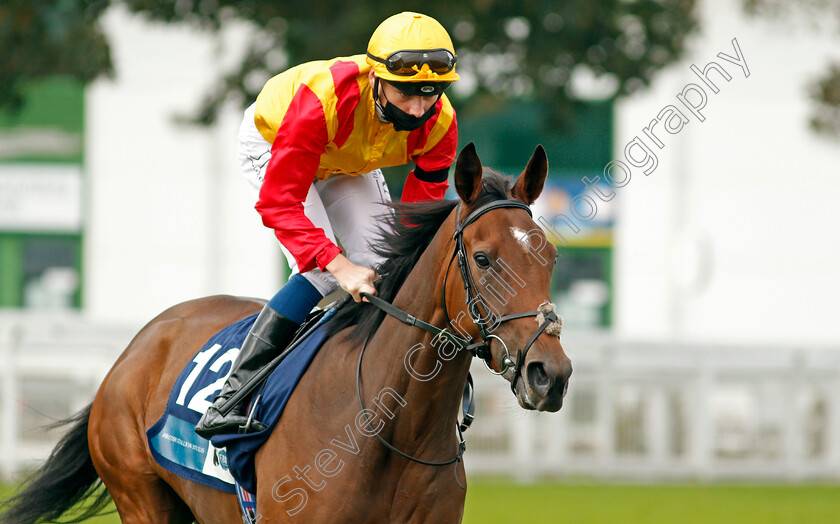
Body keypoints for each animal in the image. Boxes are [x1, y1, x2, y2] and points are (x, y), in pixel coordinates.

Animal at [0, 143, 572, 524]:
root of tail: (141, 342)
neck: (388, 428)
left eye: (550, 255)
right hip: (140, 496)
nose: (552, 374)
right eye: (484, 258)